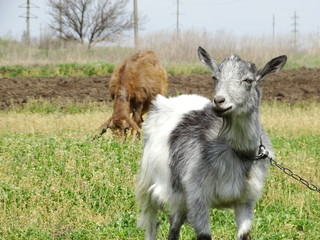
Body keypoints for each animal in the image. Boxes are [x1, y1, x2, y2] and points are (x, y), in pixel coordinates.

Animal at [135, 47, 288, 240]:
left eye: (248, 80)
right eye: (215, 77)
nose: (219, 101)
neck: (233, 151)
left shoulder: (246, 200)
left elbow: (244, 234)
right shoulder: (197, 196)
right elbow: (204, 235)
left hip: (179, 196)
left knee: (174, 224)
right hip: (150, 182)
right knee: (151, 222)